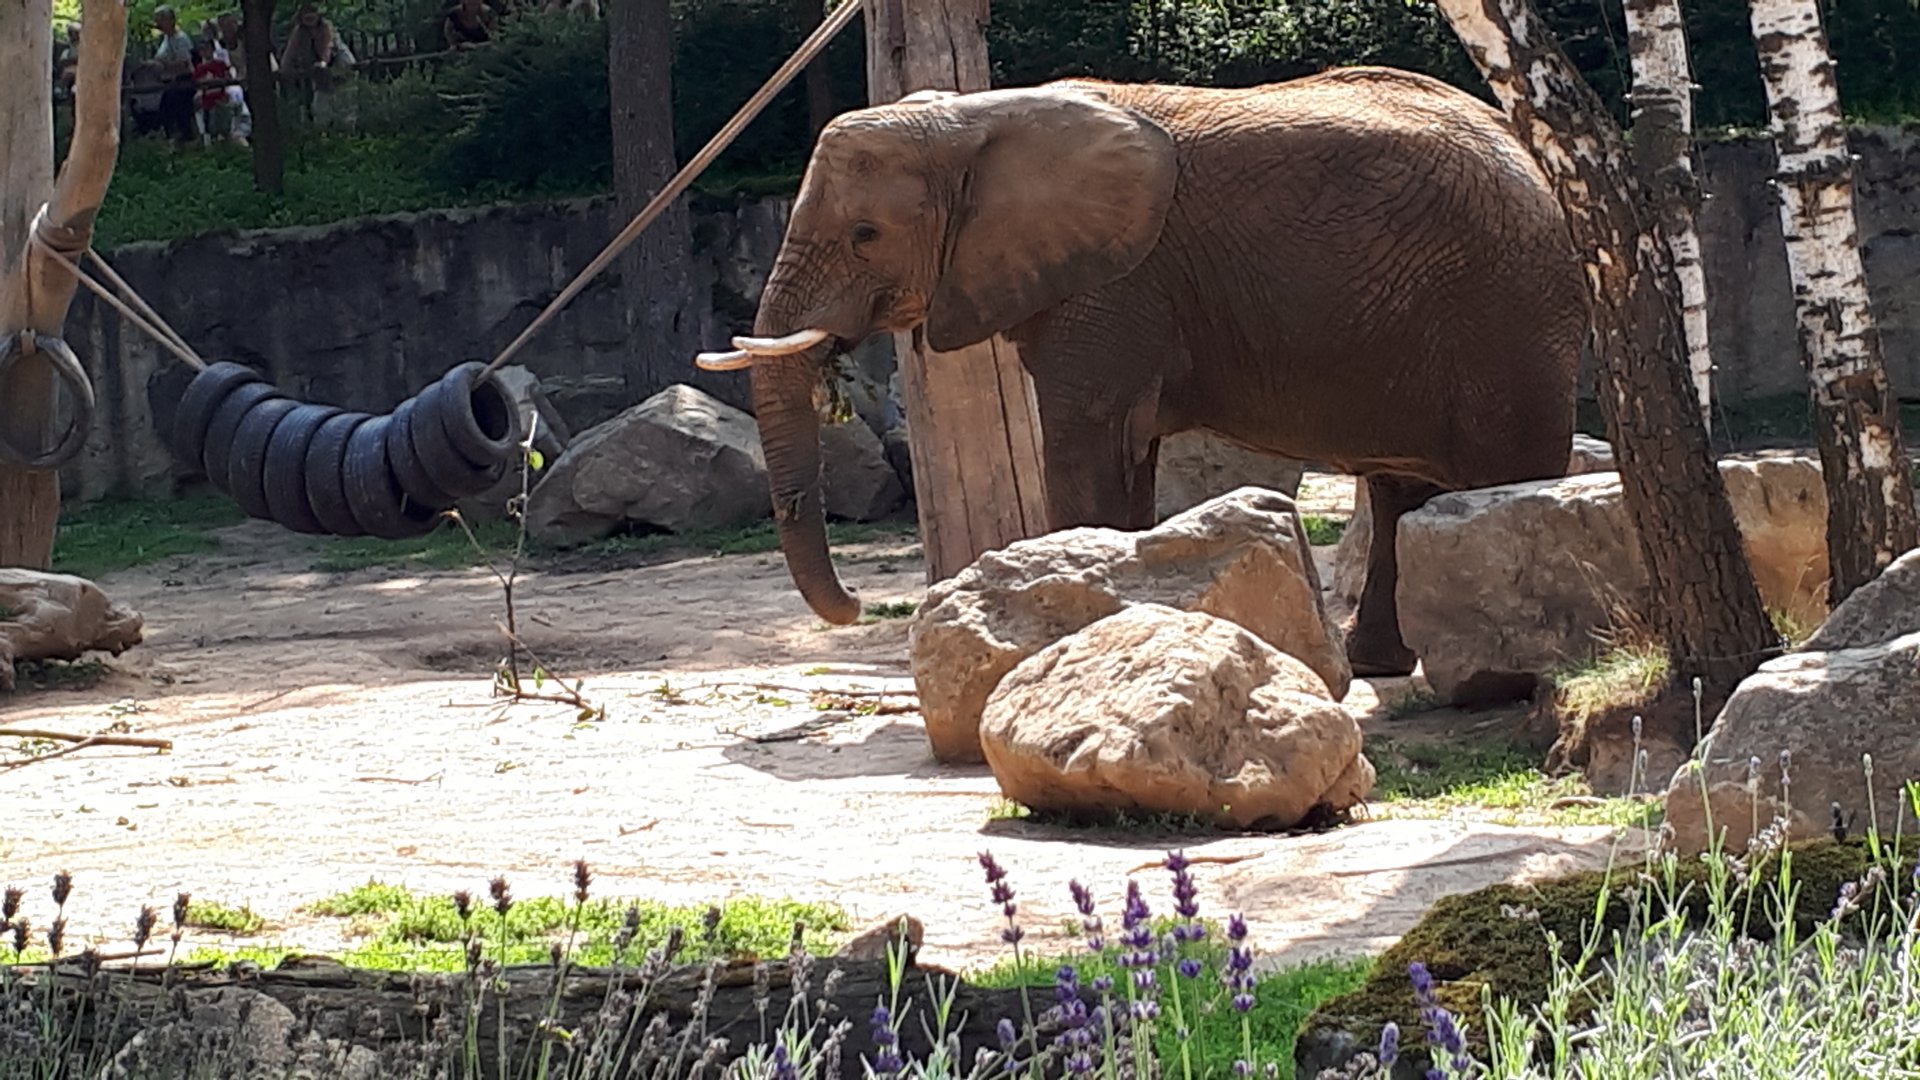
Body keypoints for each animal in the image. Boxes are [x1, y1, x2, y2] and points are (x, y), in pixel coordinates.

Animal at [696, 66, 1588, 677]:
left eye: (866, 235)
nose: (852, 610)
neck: (974, 117)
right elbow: (1123, 457)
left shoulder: (1115, 281)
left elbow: (1084, 442)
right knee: (1401, 487)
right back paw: (1377, 665)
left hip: (1506, 314)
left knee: (1502, 472)